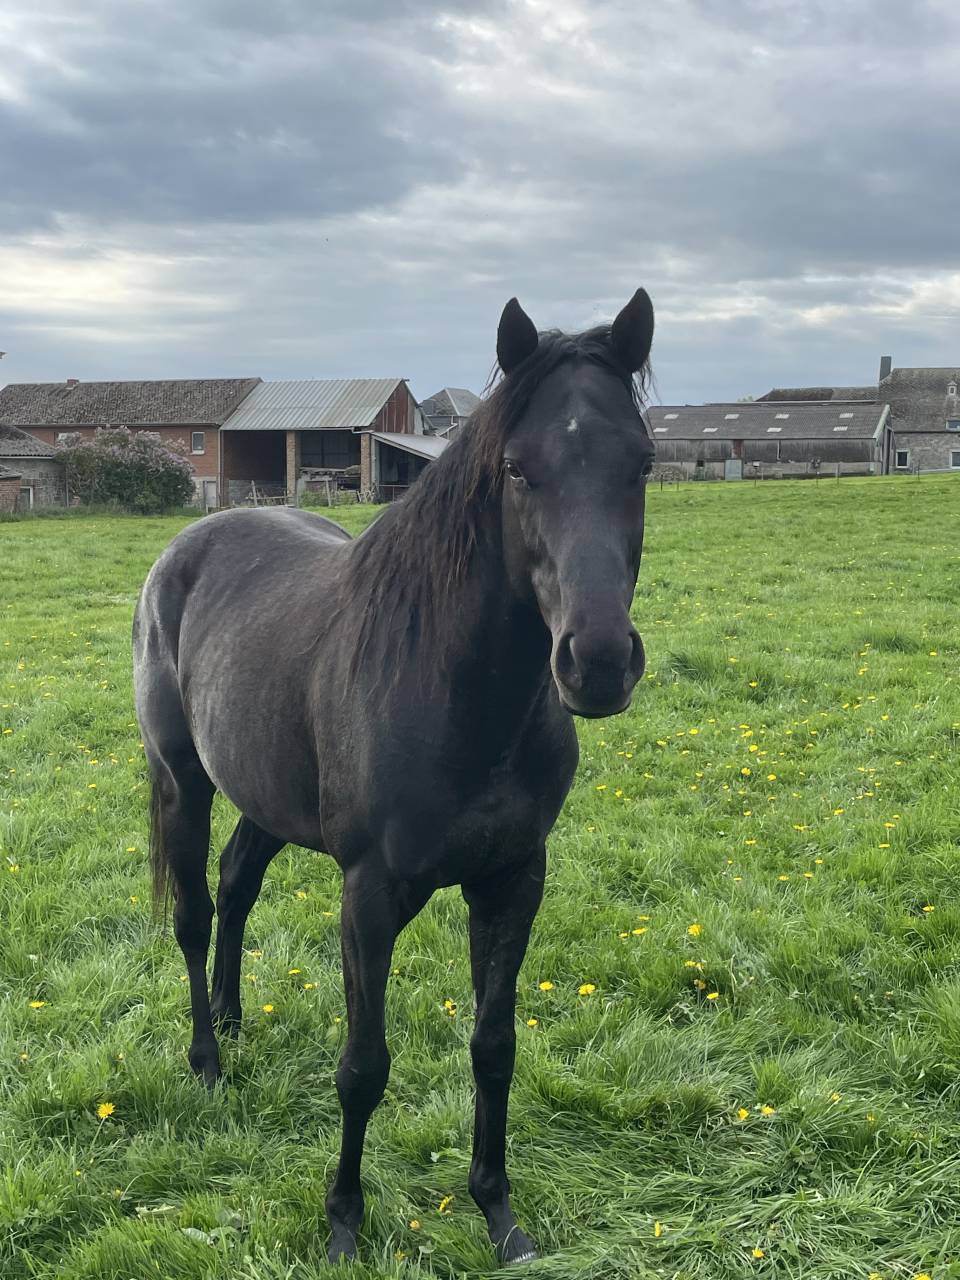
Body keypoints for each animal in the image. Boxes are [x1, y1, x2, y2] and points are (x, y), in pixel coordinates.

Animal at [133, 289, 656, 1266]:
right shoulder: (369, 894)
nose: (599, 663)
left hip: (267, 797)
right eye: (518, 469)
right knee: (193, 913)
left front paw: (498, 1212)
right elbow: (363, 1067)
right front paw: (343, 1221)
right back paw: (208, 1064)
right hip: (182, 781)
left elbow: (494, 1045)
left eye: (642, 462)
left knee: (236, 884)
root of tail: (191, 540)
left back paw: (231, 1017)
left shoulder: (513, 880)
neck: (457, 695)